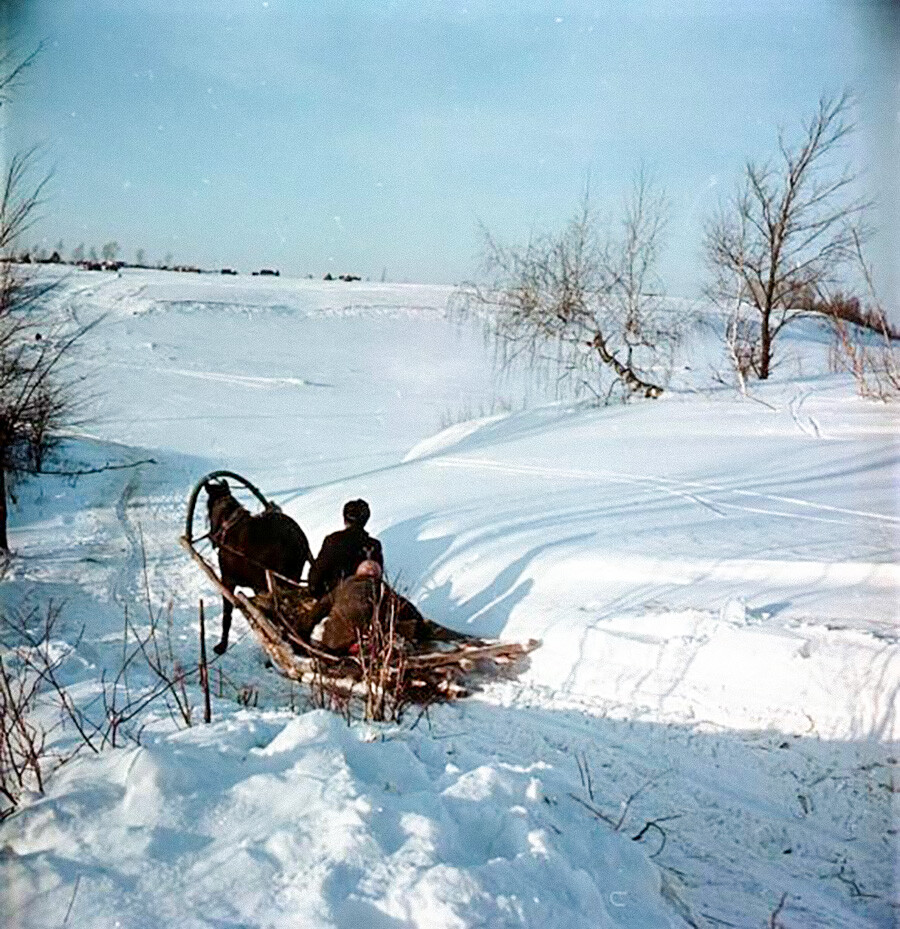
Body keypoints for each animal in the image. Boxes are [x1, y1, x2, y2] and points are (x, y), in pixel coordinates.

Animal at [205, 478, 312, 652]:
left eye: (208, 509)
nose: (212, 537)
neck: (227, 524)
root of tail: (300, 541)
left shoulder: (228, 580)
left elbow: (227, 615)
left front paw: (222, 645)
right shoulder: (259, 587)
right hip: (290, 580)